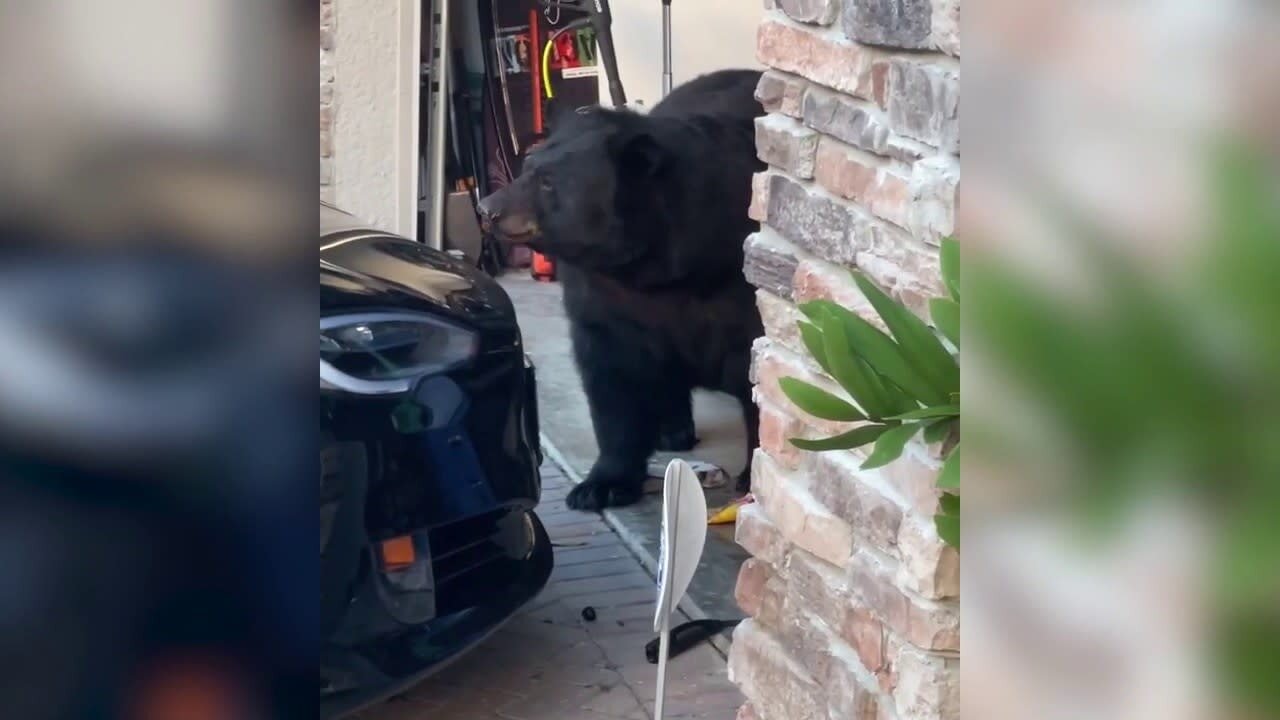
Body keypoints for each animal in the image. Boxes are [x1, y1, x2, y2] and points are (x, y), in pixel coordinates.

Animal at [478, 68, 757, 509]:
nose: (488, 209)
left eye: (548, 182)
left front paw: (752, 476)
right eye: (527, 164)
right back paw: (673, 429)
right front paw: (602, 483)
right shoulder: (605, 297)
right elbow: (612, 374)